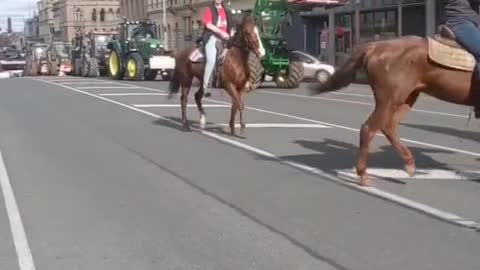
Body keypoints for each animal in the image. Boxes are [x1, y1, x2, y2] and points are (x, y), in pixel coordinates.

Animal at [308, 24, 480, 188]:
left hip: (407, 97)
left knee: (388, 126)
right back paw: (364, 175)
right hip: (390, 98)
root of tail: (374, 47)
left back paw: (409, 163)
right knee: (369, 128)